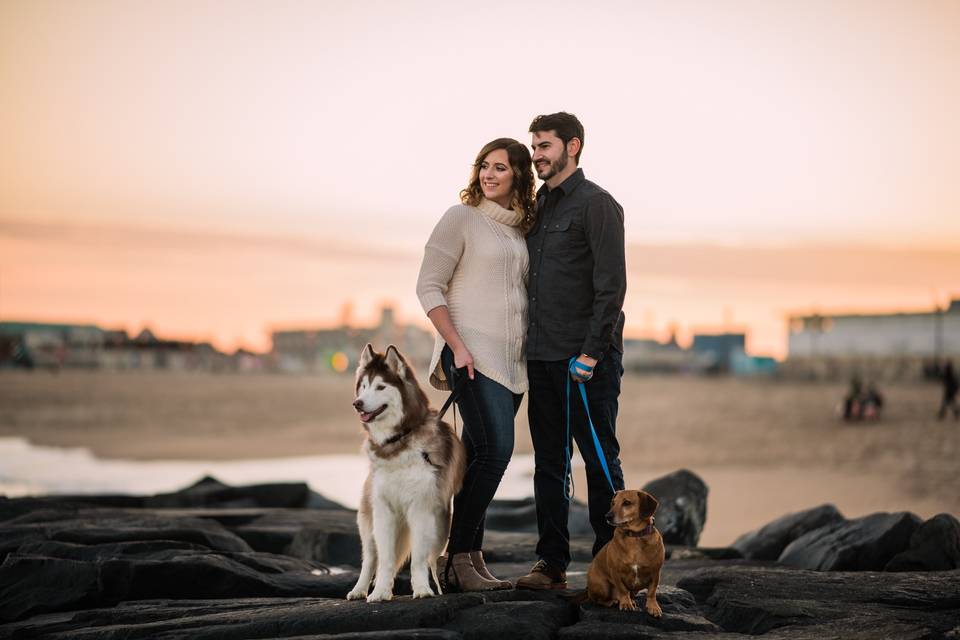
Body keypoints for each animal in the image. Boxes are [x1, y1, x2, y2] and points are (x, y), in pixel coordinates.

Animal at [346, 344, 466, 600]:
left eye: (380, 387)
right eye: (364, 386)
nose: (357, 403)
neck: (398, 440)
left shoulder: (421, 508)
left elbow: (419, 559)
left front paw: (422, 589)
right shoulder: (384, 511)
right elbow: (385, 559)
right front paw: (380, 592)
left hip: (441, 526)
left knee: (433, 559)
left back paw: (439, 586)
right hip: (368, 521)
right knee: (369, 558)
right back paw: (358, 590)